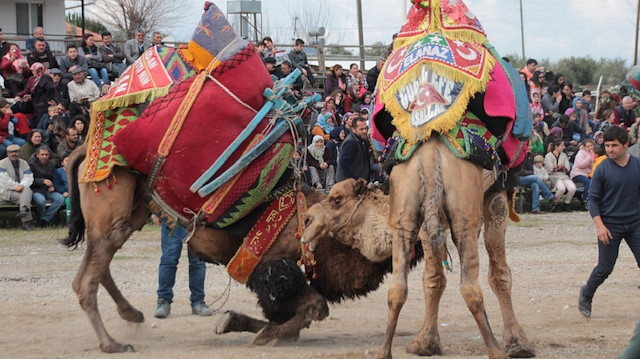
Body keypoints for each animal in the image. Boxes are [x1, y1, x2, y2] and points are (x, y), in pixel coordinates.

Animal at [62, 144, 428, 354]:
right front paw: (267, 335)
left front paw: (235, 322)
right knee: (85, 280)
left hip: (130, 215)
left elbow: (296, 311)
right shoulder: (271, 265)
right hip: (112, 214)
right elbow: (314, 307)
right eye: (336, 198)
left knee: (99, 267)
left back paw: (132, 314)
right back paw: (112, 343)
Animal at [304, 138, 536, 359]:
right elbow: (436, 279)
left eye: (336, 200)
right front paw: (427, 343)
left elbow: (497, 274)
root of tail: (431, 156)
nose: (307, 219)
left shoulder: (494, 198)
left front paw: (517, 342)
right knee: (459, 286)